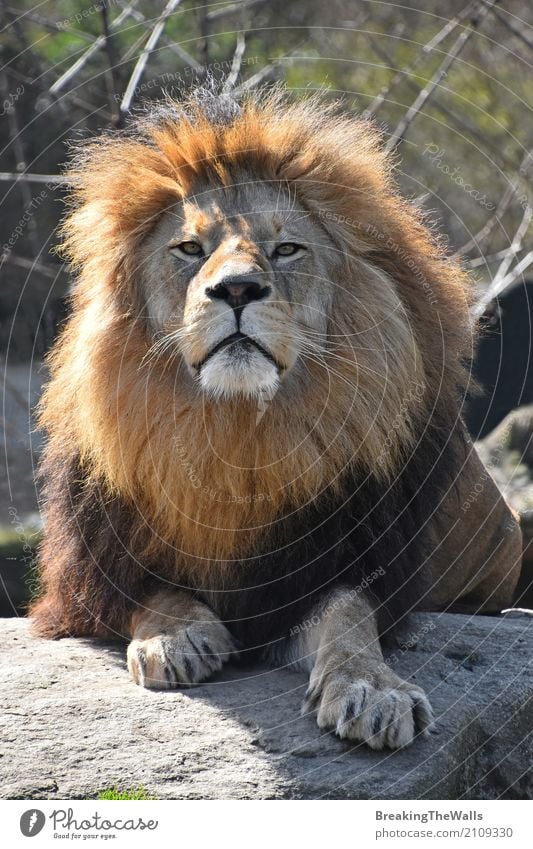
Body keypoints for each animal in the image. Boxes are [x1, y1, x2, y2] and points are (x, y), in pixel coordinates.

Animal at [31, 88, 520, 748]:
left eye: (286, 249)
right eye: (190, 249)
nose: (237, 290)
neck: (237, 434)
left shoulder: (340, 567)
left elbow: (349, 619)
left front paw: (373, 690)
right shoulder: (92, 580)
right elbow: (154, 592)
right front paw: (175, 637)